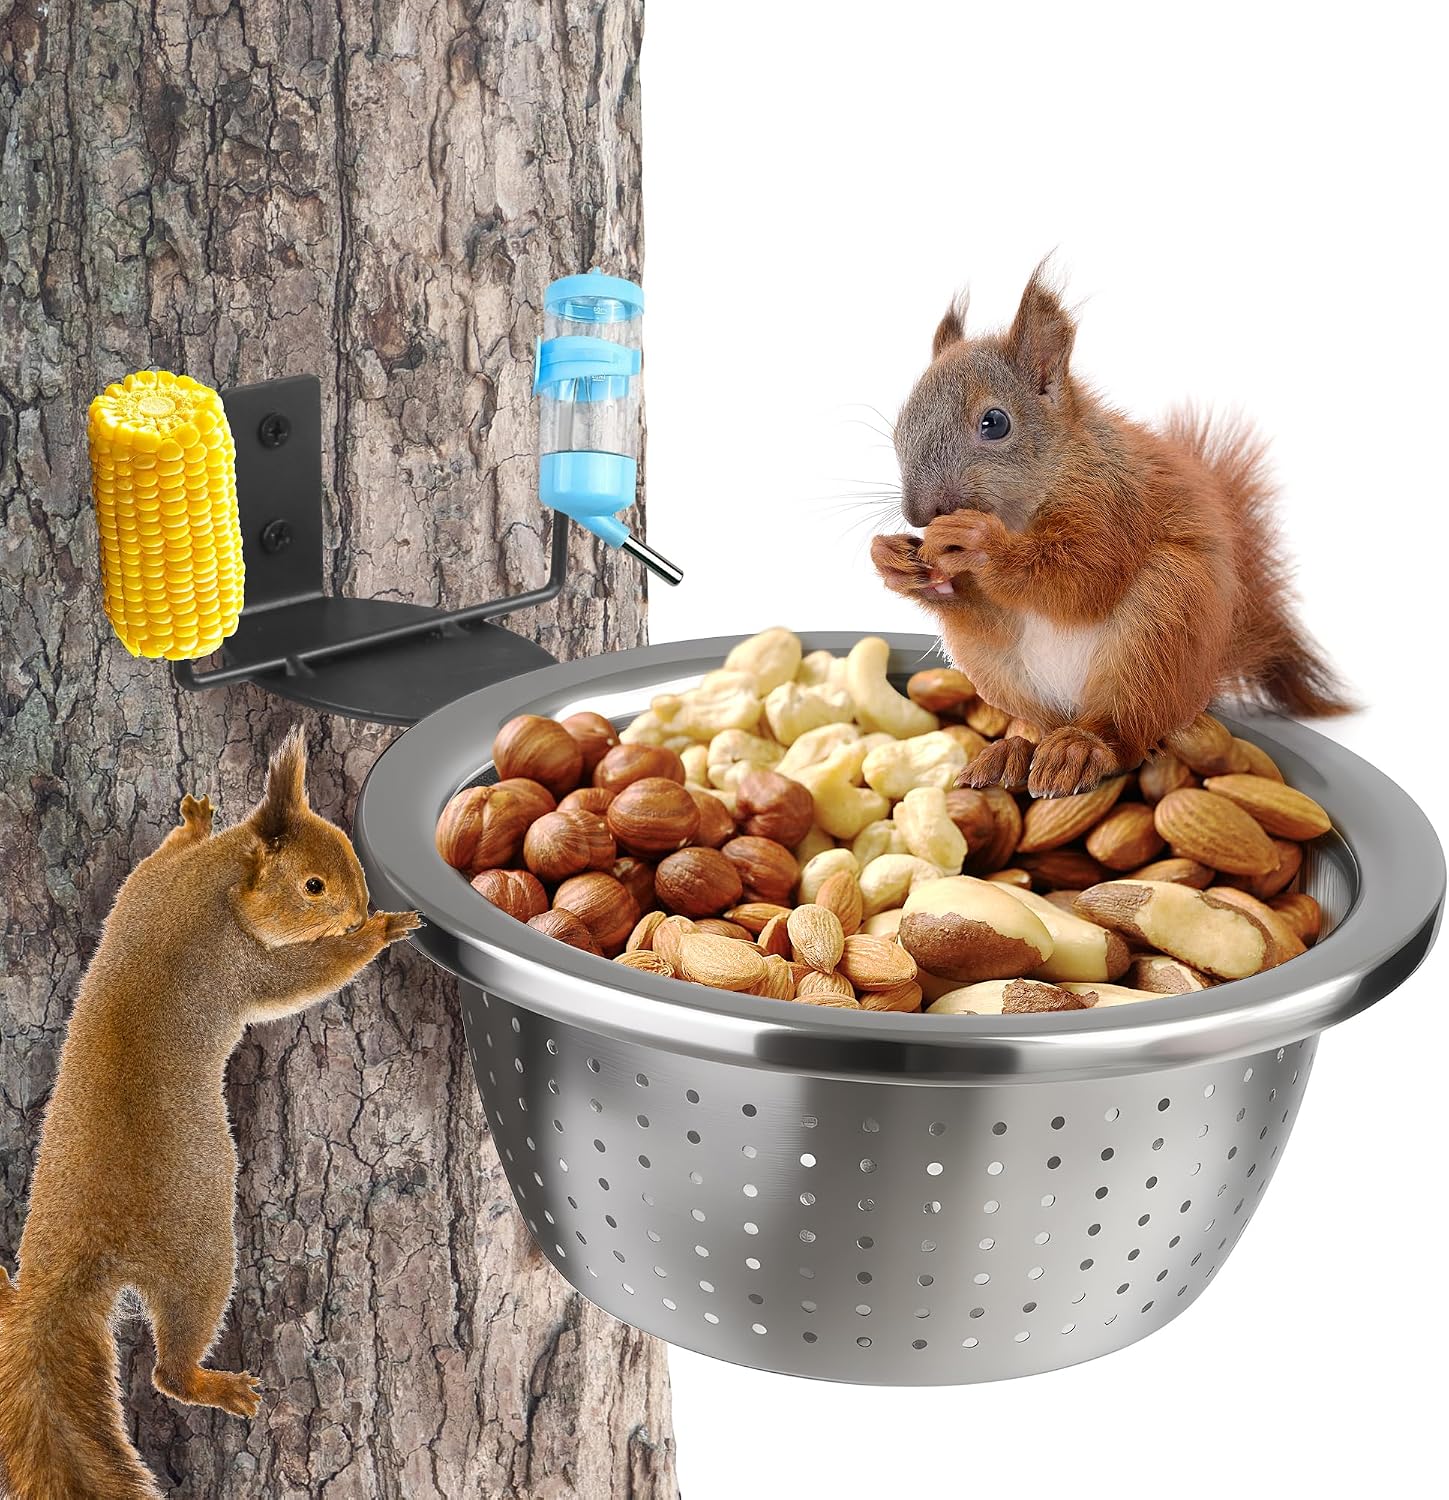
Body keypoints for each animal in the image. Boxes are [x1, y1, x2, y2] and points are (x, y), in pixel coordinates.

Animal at [0, 729, 420, 1500]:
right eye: (313, 887)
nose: (359, 907)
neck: (215, 883)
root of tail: (76, 1254)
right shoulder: (244, 963)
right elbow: (304, 978)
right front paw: (376, 932)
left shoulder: (145, 882)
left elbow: (158, 853)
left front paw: (193, 817)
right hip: (198, 1258)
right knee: (169, 1365)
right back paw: (214, 1385)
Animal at [871, 264, 1350, 798]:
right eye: (901, 424)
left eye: (994, 423)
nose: (920, 513)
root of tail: (1197, 688)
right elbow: (983, 608)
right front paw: (892, 560)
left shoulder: (1113, 504)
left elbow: (1084, 576)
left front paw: (980, 543)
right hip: (1001, 669)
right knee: (1038, 721)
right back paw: (1011, 750)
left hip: (1157, 630)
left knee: (1125, 737)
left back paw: (1082, 750)